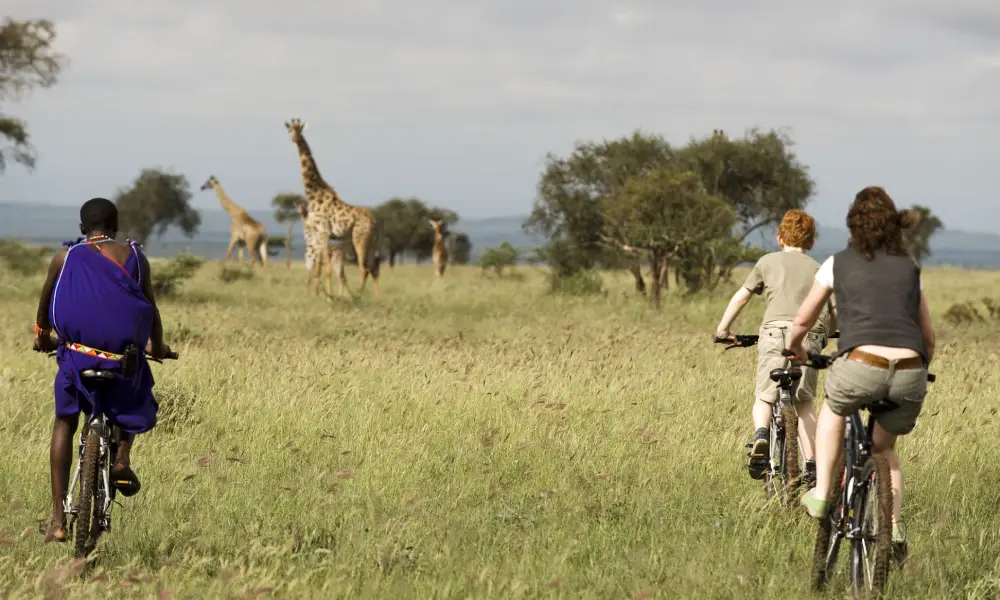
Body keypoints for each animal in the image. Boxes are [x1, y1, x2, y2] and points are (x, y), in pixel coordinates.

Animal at [283, 118, 380, 296]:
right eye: (289, 130)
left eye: (300, 130)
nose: (294, 139)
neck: (314, 193)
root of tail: (375, 221)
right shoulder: (318, 234)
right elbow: (318, 268)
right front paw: (319, 295)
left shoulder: (324, 232)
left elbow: (325, 267)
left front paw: (328, 296)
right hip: (372, 241)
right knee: (373, 268)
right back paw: (374, 296)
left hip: (359, 237)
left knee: (363, 268)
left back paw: (357, 296)